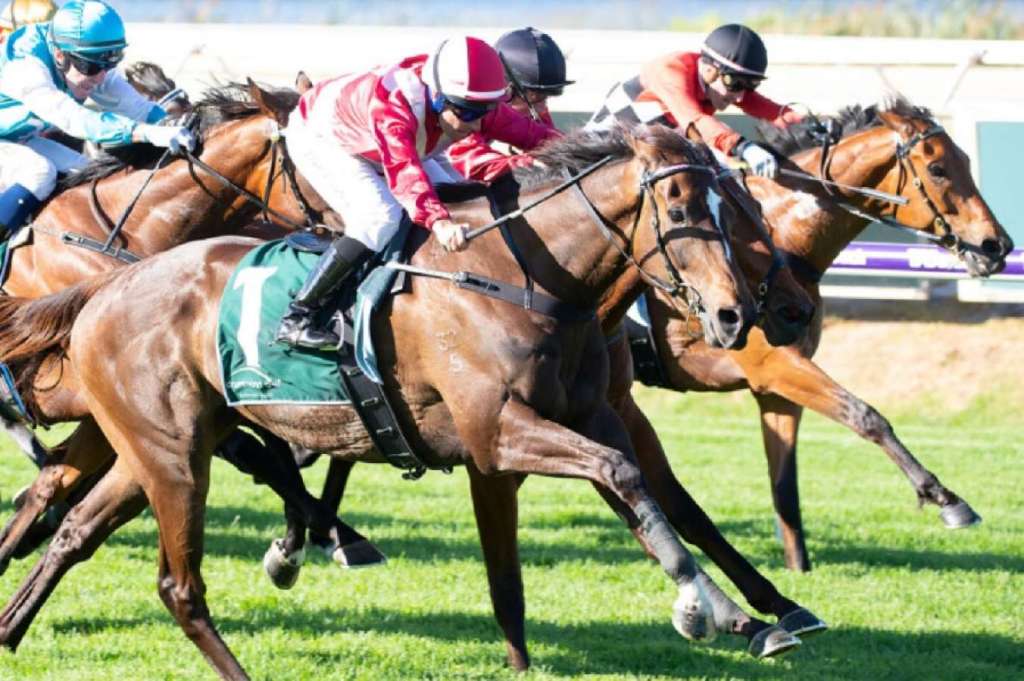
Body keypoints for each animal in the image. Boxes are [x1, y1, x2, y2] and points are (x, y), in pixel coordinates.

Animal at [0, 126, 782, 678]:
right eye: (679, 207)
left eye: (734, 207)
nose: (735, 314)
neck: (525, 277)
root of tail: (106, 286)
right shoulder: (499, 432)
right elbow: (621, 476)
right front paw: (706, 605)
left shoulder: (581, 421)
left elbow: (638, 498)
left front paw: (741, 610)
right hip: (173, 456)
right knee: (177, 584)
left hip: (158, 448)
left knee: (75, 525)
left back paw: (10, 627)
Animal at [630, 95, 1012, 571]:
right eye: (939, 168)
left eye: (964, 160)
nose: (997, 246)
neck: (781, 240)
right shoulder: (776, 365)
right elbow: (866, 415)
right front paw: (945, 498)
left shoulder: (775, 391)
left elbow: (785, 485)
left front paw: (798, 568)